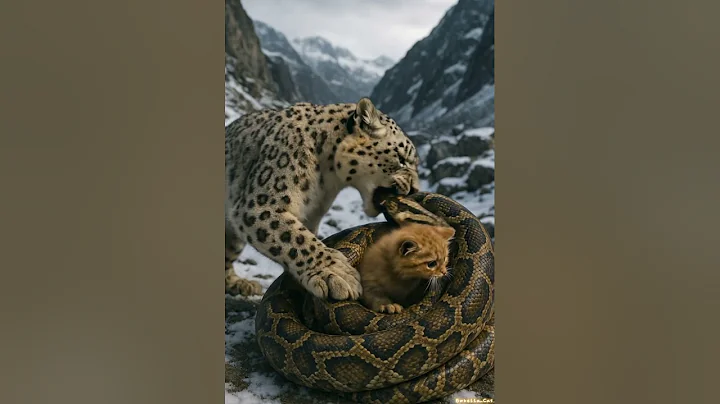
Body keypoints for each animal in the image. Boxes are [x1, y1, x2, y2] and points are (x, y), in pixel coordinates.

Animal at [225, 97, 421, 301]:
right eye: (401, 159)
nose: (415, 189)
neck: (326, 181)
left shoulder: (311, 216)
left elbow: (304, 236)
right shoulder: (261, 202)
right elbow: (296, 238)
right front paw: (337, 274)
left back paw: (240, 284)